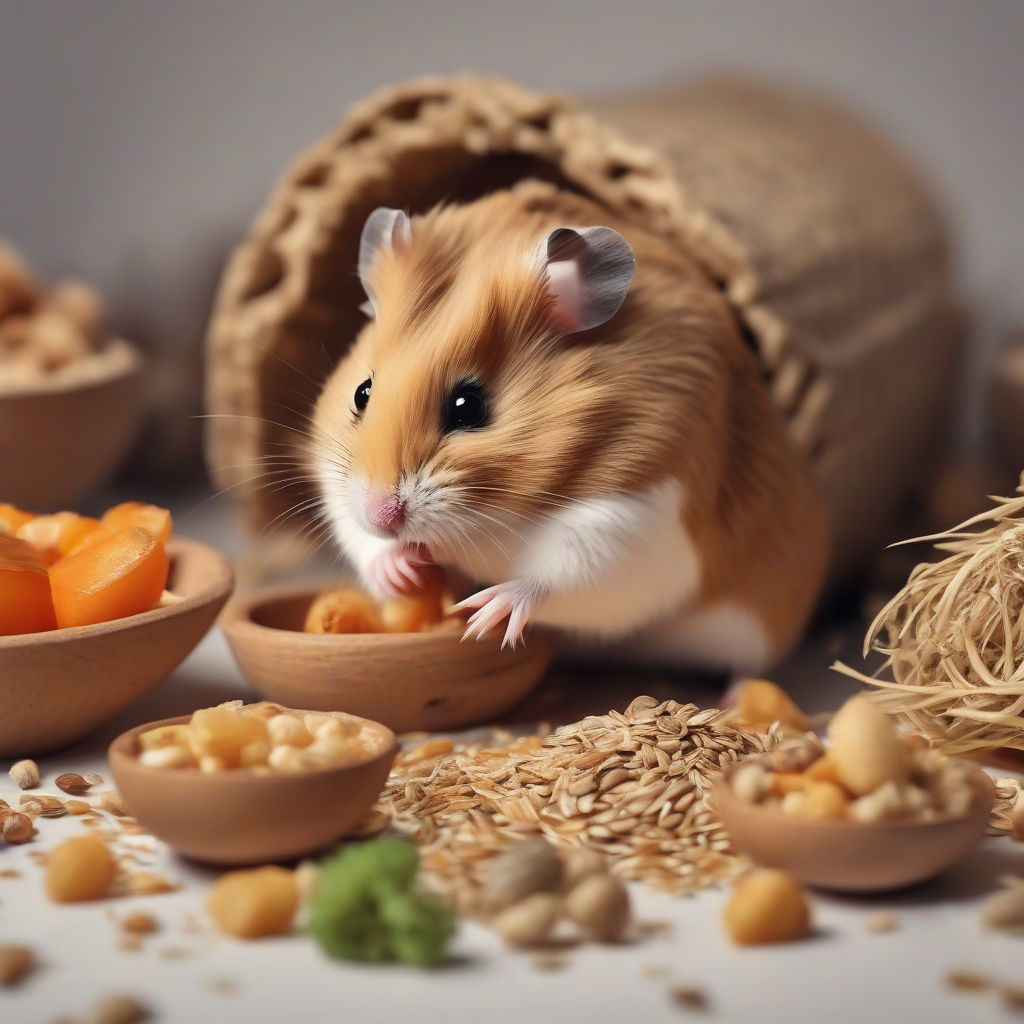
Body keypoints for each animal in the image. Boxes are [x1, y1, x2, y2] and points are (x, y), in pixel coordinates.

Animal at [308, 180, 828, 672]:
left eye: (468, 407)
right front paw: (402, 572)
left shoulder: (641, 522)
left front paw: (486, 613)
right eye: (361, 393)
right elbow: (360, 539)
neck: (495, 520)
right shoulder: (339, 489)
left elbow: (557, 579)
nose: (381, 515)